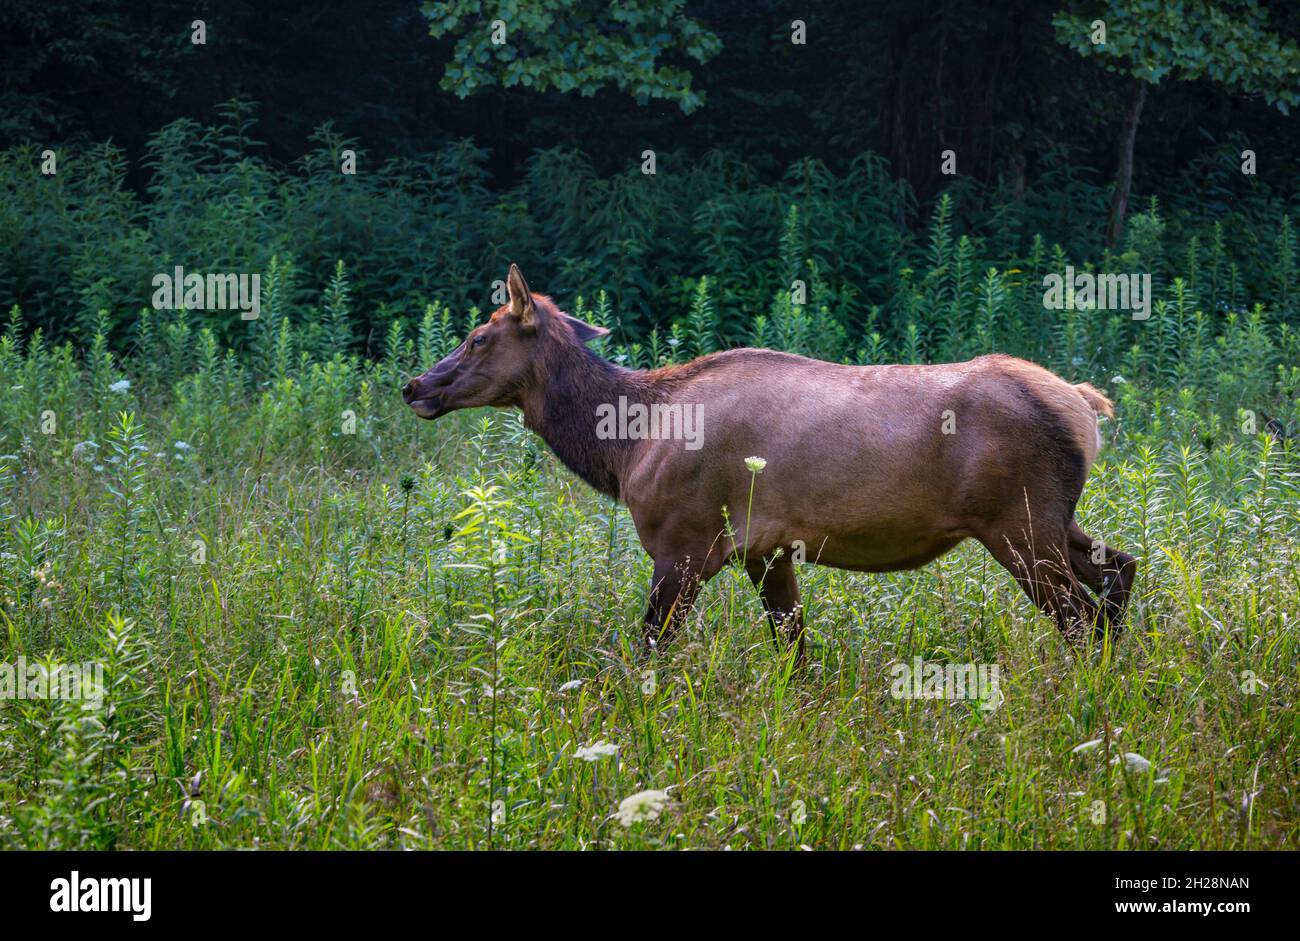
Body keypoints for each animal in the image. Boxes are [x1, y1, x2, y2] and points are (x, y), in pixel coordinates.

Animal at [403, 265, 1138, 657]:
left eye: (478, 335)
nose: (415, 385)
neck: (626, 446)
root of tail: (1083, 403)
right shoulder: (767, 549)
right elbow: (797, 652)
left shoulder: (685, 541)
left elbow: (647, 650)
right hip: (1052, 518)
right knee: (1120, 569)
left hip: (1018, 523)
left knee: (1080, 615)